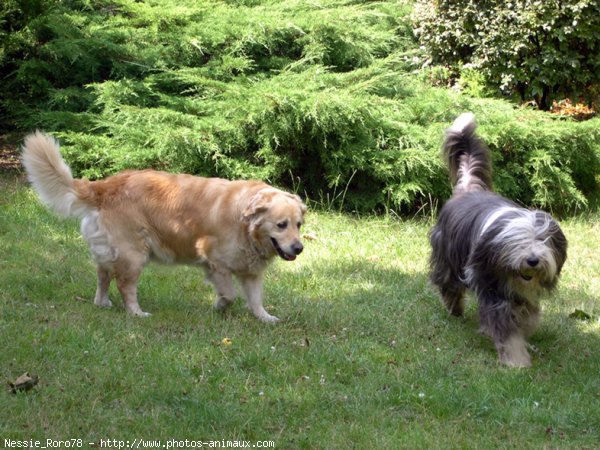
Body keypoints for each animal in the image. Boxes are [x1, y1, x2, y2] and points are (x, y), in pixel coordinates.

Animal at [432, 111, 568, 366]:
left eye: (542, 241)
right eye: (518, 243)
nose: (533, 260)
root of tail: (469, 189)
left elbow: (527, 317)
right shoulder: (491, 286)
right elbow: (505, 328)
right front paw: (516, 360)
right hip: (448, 255)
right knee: (449, 285)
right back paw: (454, 309)